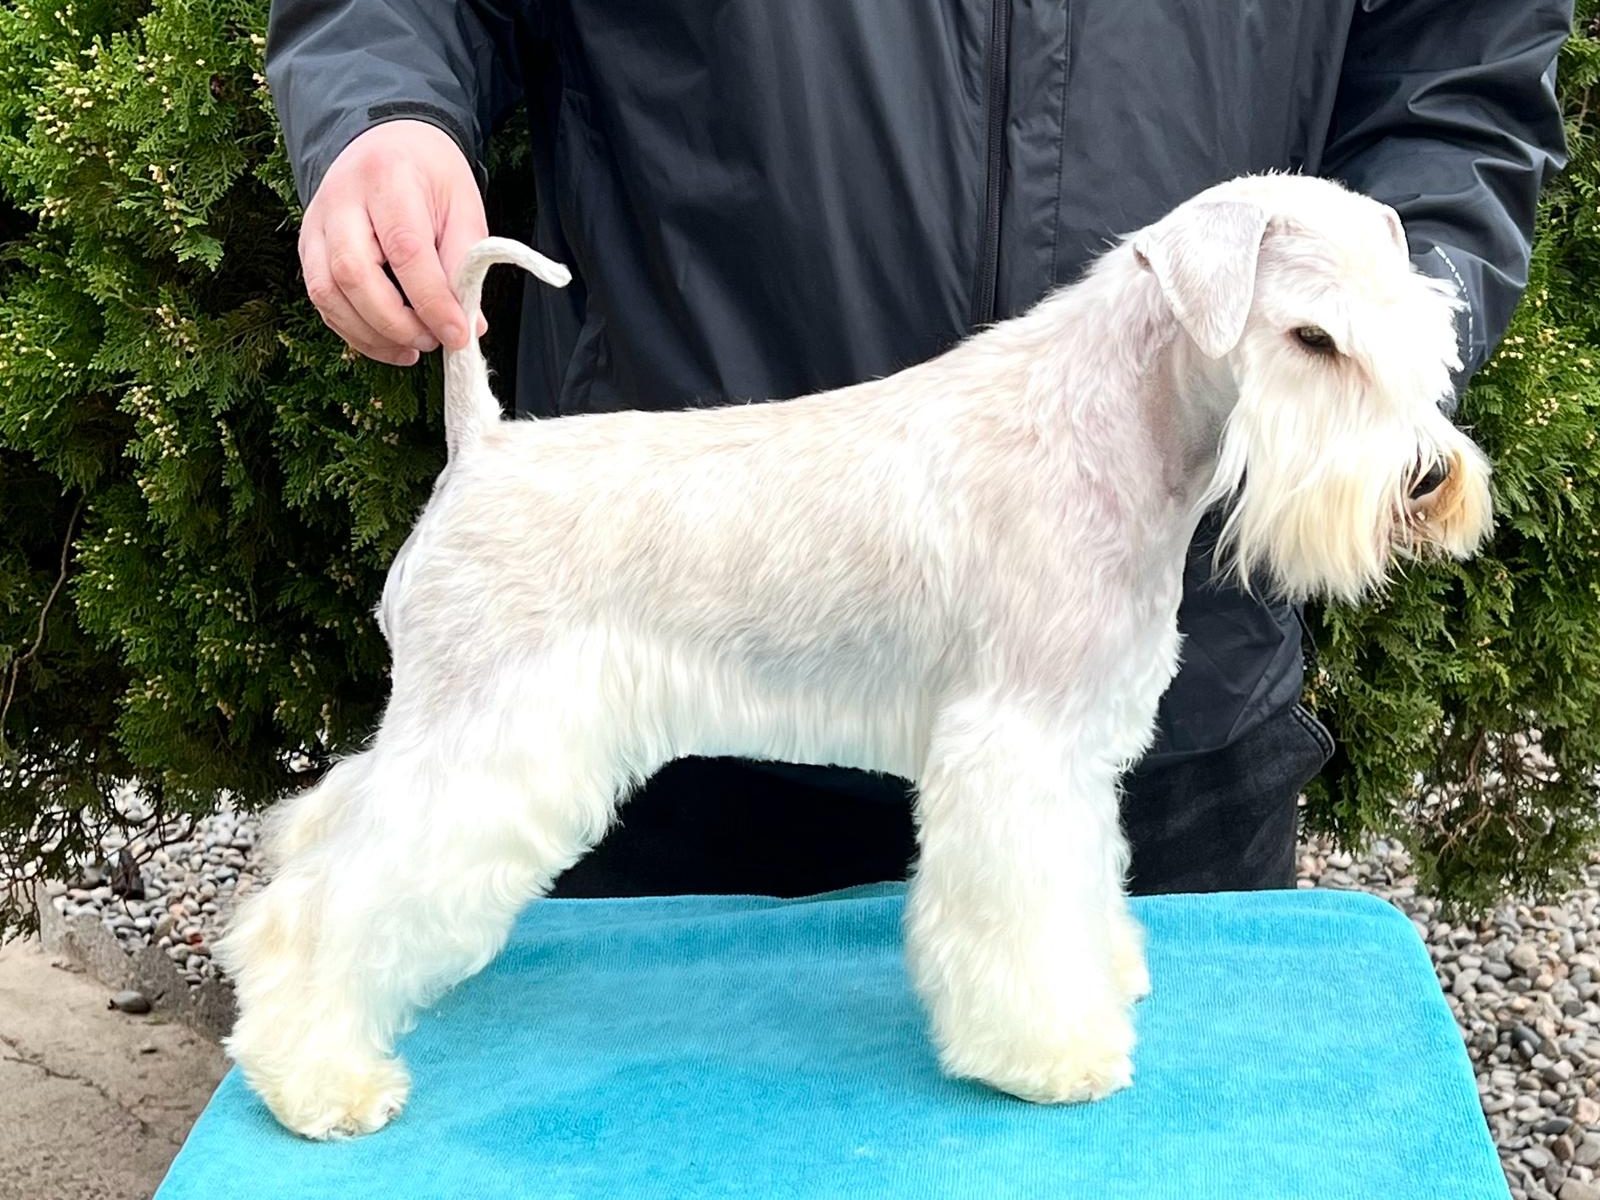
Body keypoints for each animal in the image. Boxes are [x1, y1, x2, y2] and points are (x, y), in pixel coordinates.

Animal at [219, 173, 1491, 1139]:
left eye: (1423, 328)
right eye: (1312, 339)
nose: (1426, 480)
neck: (1108, 428)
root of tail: (482, 447)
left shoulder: (1071, 748)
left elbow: (1081, 881)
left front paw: (1106, 972)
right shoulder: (1013, 745)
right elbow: (1020, 915)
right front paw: (1052, 1051)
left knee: (325, 831)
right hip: (489, 743)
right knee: (335, 900)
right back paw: (318, 1076)